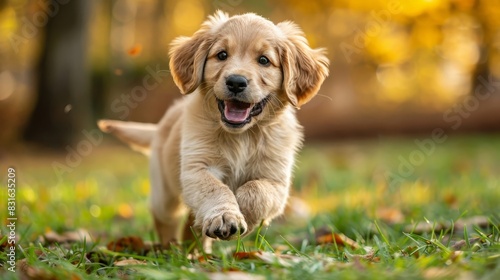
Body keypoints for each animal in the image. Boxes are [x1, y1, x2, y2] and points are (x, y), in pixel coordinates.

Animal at [99, 10, 330, 249]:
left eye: (264, 60)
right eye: (222, 55)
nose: (236, 82)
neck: (243, 136)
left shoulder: (276, 180)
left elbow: (255, 191)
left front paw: (242, 214)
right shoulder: (197, 167)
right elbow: (216, 189)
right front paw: (226, 215)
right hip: (164, 191)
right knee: (164, 217)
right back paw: (170, 247)